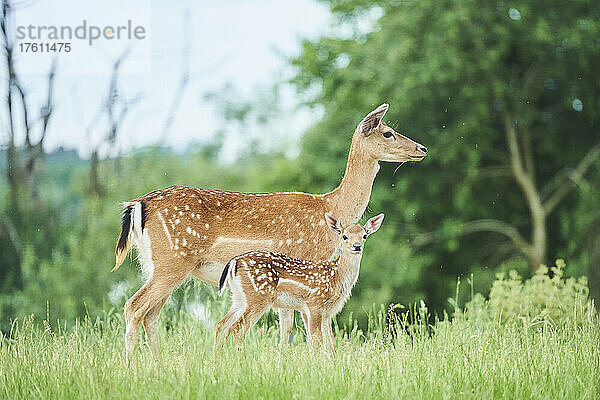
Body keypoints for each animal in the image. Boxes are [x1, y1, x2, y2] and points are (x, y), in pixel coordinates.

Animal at [112, 101, 426, 360]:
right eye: (388, 132)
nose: (422, 149)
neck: (331, 207)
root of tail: (137, 204)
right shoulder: (306, 263)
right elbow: (297, 325)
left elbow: (288, 324)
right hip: (173, 260)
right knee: (134, 307)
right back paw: (131, 365)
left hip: (156, 264)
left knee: (151, 313)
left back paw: (158, 364)